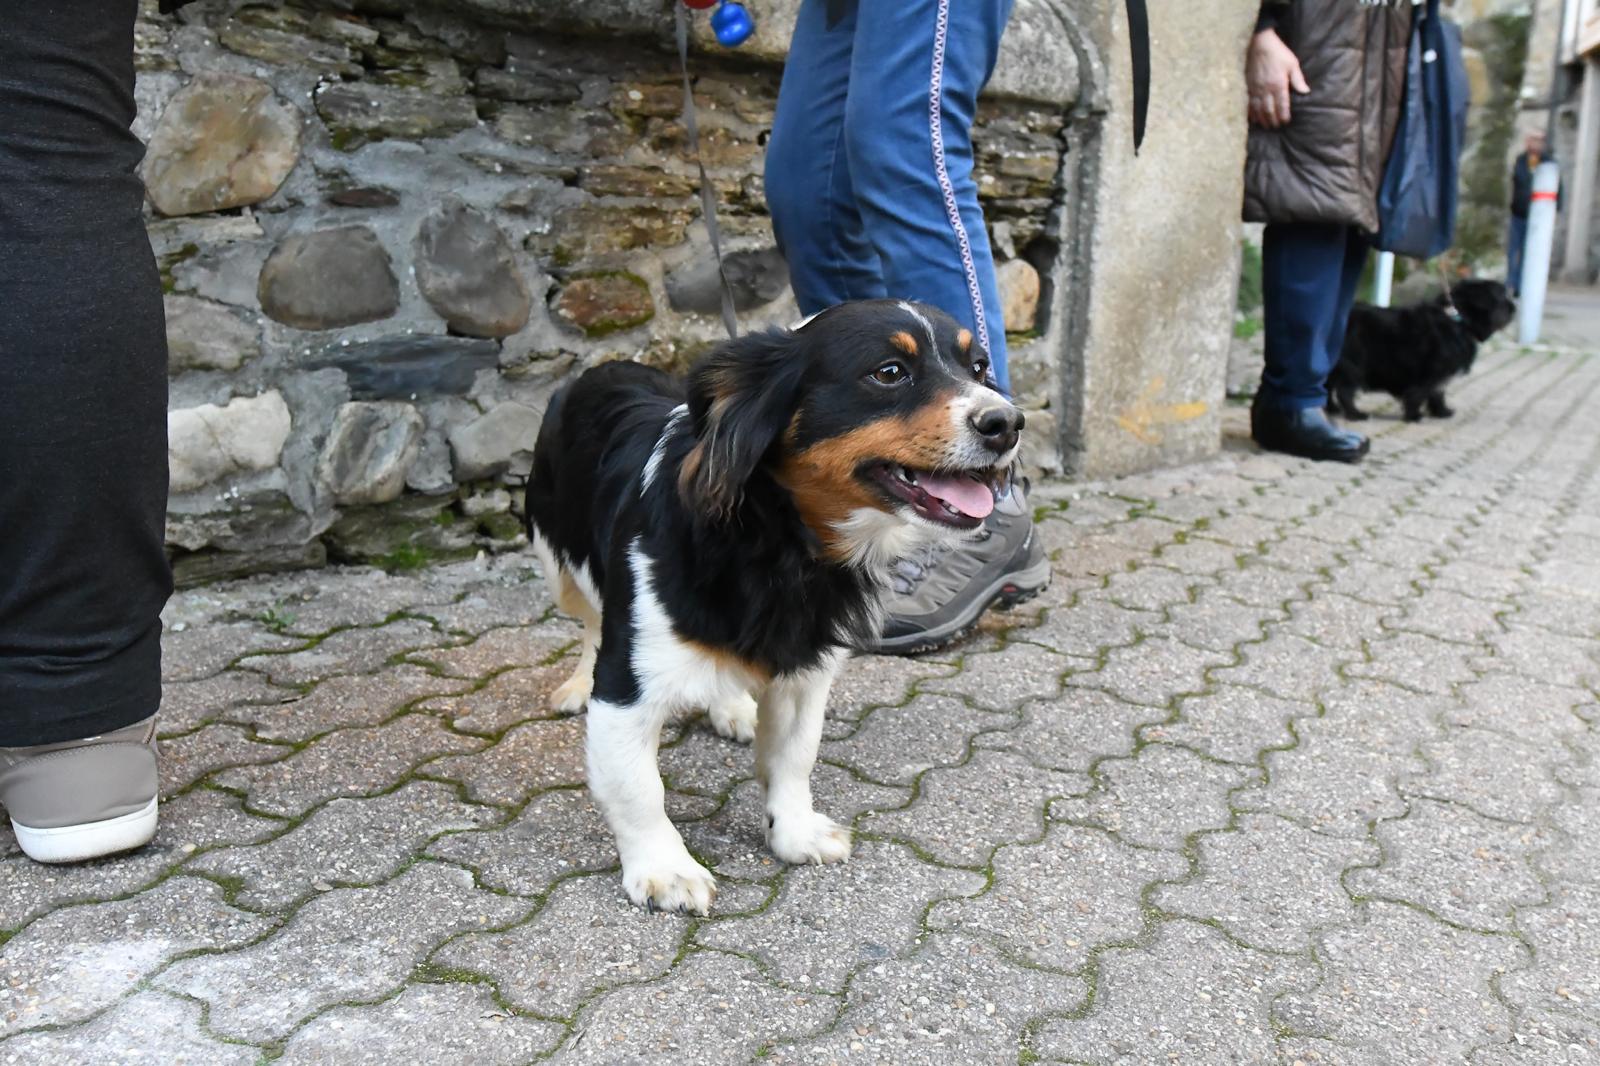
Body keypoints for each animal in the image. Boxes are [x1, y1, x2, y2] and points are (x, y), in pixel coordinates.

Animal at [524, 294, 1024, 909]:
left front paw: (794, 832)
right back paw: (578, 682)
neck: (779, 543)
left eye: (978, 368)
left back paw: (732, 706)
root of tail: (600, 368)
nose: (1008, 423)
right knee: (590, 620)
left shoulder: (807, 667)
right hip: (556, 561)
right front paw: (665, 868)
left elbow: (793, 756)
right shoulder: (627, 684)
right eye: (889, 372)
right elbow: (639, 788)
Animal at [1331, 278, 1516, 419]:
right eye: (1502, 297)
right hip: (1353, 365)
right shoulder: (1430, 372)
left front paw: (1442, 412)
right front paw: (1413, 415)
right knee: (1344, 391)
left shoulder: (1439, 376)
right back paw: (1355, 414)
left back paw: (1333, 409)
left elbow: (1437, 394)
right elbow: (1419, 393)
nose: (1514, 309)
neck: (1458, 321)